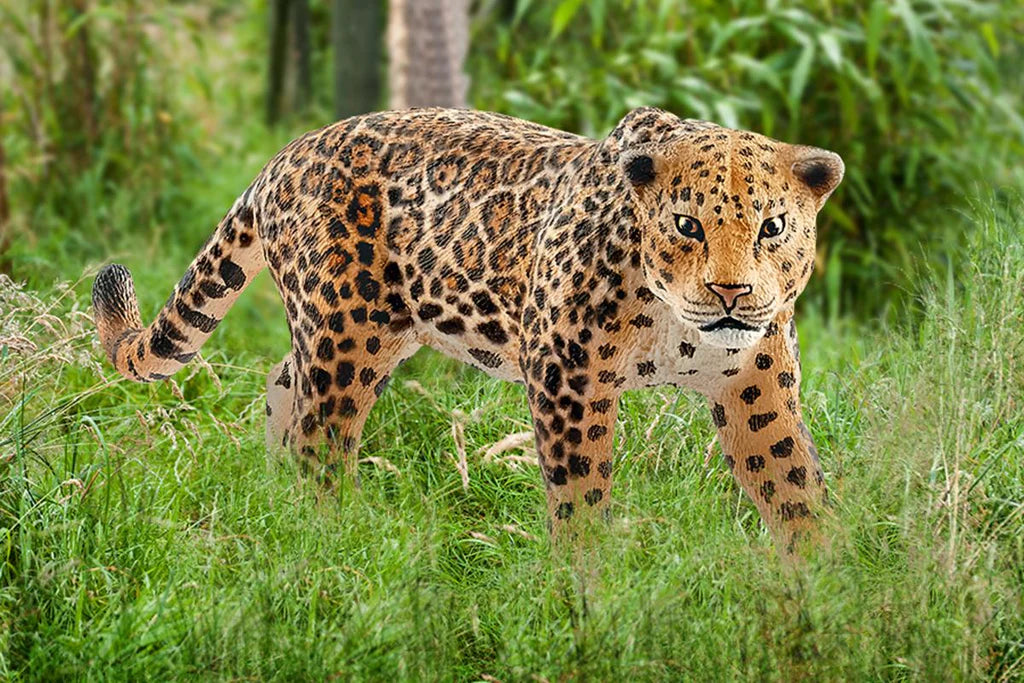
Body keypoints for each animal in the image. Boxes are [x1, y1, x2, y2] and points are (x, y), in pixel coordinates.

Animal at [92, 107, 844, 555]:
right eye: (687, 225)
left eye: (773, 226)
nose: (732, 293)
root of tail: (284, 156)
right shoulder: (568, 378)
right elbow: (580, 493)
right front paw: (590, 588)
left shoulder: (757, 386)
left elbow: (793, 481)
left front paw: (824, 581)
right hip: (348, 334)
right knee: (320, 439)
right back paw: (330, 543)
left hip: (363, 335)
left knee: (285, 387)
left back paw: (279, 505)